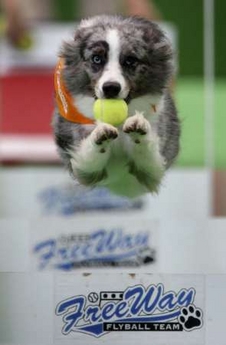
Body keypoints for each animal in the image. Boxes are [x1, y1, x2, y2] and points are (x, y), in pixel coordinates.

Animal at [52, 14, 180, 196]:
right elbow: (90, 159)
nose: (111, 88)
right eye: (96, 59)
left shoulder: (152, 171)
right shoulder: (84, 168)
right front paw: (100, 135)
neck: (118, 124)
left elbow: (147, 157)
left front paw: (139, 128)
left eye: (130, 61)